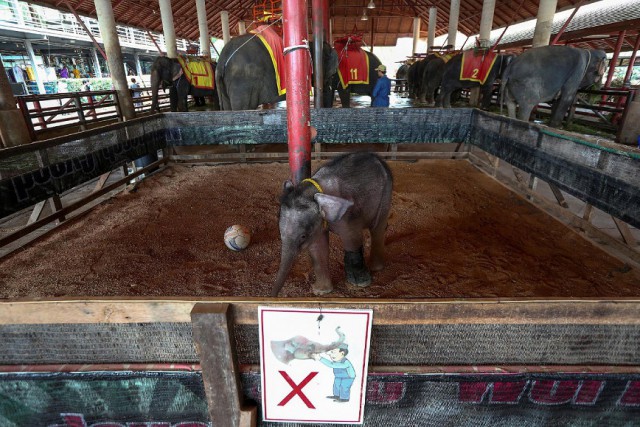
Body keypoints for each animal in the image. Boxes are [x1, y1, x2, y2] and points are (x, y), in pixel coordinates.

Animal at [272, 151, 392, 298]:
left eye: (303, 236)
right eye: (280, 233)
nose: (272, 296)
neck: (311, 191)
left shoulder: (347, 215)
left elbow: (352, 240)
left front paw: (360, 284)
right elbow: (318, 247)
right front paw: (321, 292)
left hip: (385, 196)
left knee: (377, 228)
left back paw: (376, 268)